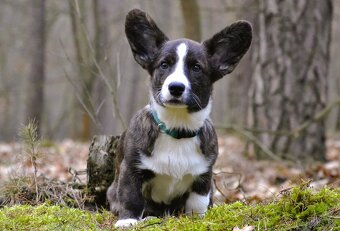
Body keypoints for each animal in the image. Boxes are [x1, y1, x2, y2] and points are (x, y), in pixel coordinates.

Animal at [107, 9, 252, 227]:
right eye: (164, 65)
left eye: (196, 68)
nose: (176, 87)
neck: (178, 127)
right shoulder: (131, 169)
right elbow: (131, 196)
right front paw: (128, 221)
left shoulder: (203, 176)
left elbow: (198, 203)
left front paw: (198, 220)